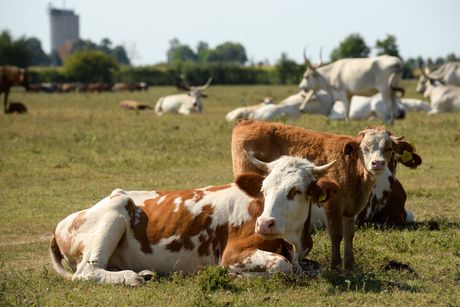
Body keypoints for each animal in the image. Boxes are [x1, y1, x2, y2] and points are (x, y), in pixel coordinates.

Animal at [49, 155, 338, 286]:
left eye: (296, 190)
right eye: (264, 189)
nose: (264, 223)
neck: (293, 242)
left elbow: (315, 267)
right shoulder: (233, 253)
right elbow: (282, 265)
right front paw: (235, 275)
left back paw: (144, 273)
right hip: (116, 207)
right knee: (86, 272)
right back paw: (132, 277)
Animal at [232, 120, 418, 270]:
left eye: (389, 149)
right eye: (364, 149)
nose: (378, 163)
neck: (352, 169)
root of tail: (246, 122)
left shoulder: (350, 211)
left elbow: (349, 234)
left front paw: (350, 265)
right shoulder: (332, 207)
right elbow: (336, 235)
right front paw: (335, 265)